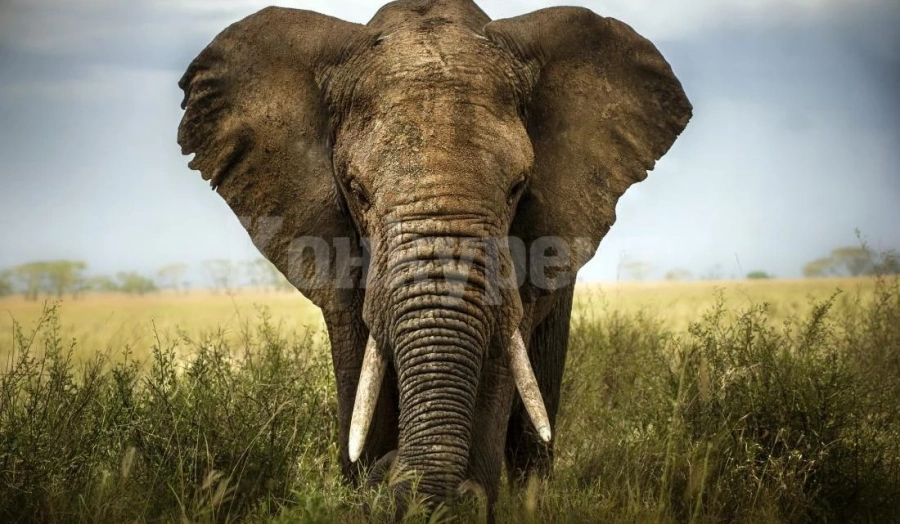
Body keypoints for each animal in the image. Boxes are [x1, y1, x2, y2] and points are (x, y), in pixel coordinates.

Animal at [177, 0, 691, 515]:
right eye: (357, 191)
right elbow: (359, 371)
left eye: (518, 187)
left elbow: (498, 366)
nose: (391, 472)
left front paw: (465, 500)